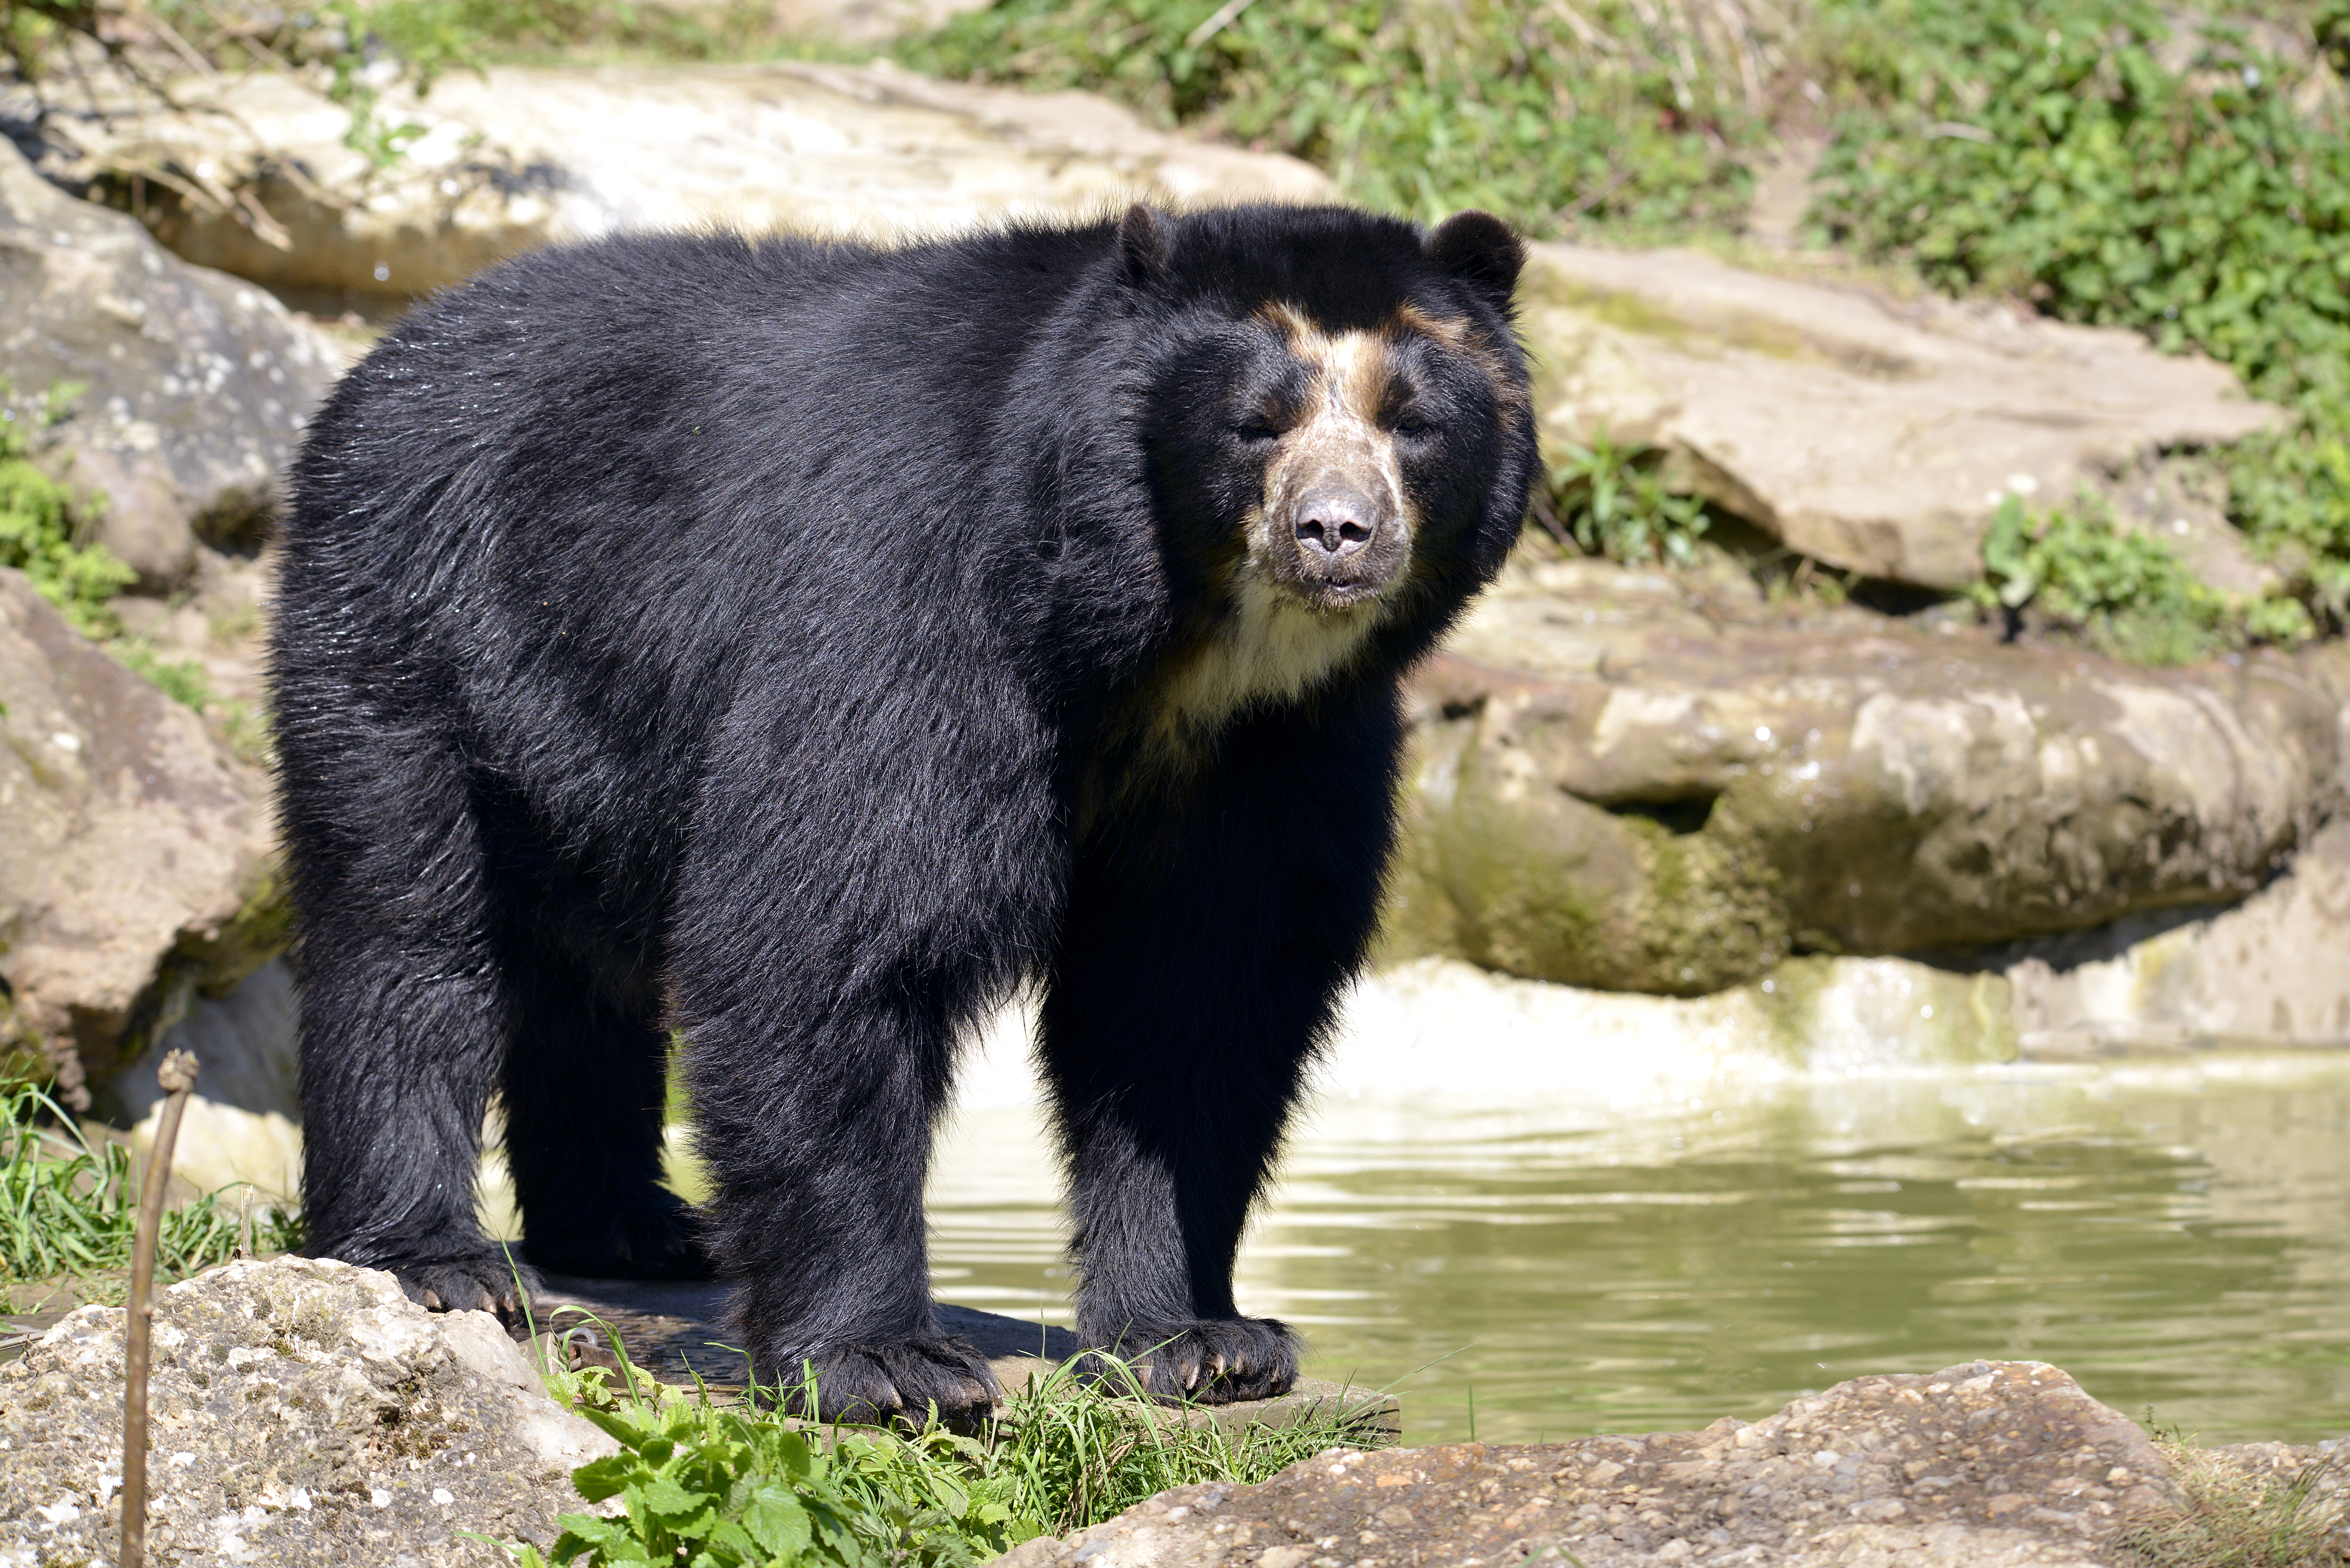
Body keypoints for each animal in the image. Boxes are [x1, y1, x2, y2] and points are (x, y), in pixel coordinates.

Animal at [271, 201, 1538, 1426]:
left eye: (1411, 421)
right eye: (1254, 424)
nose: (1336, 532)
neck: (1173, 648)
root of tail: (392, 349)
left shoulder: (1276, 749)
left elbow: (1197, 997)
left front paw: (1203, 1340)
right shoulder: (917, 605)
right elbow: (830, 935)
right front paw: (887, 1364)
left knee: (585, 964)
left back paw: (638, 1227)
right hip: (417, 619)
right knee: (407, 928)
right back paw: (435, 1256)